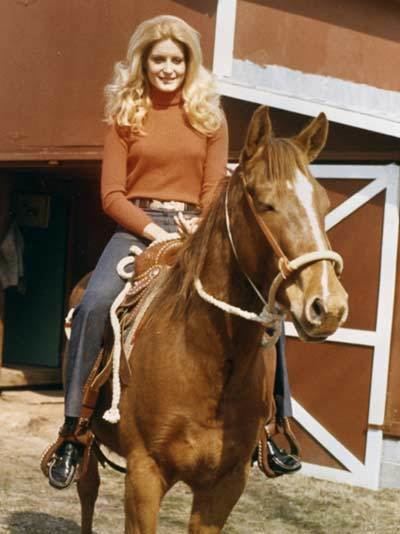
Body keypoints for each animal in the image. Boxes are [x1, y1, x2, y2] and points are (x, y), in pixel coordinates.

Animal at [73, 107, 348, 532]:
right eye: (263, 201)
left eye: (323, 203)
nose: (328, 305)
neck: (206, 359)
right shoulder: (144, 475)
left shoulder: (225, 484)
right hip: (86, 443)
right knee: (87, 489)